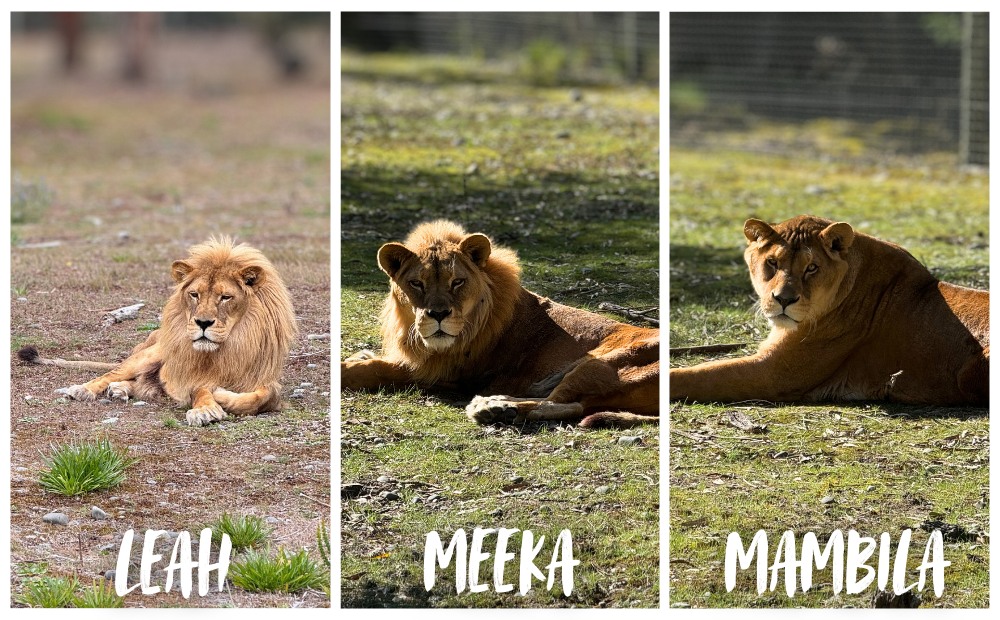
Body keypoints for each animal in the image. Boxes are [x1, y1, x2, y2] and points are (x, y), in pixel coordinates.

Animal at [18, 237, 298, 426]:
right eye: (194, 294)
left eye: (225, 297)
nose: (202, 323)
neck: (230, 347)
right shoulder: (190, 377)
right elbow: (201, 389)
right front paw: (206, 408)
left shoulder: (265, 378)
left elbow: (265, 396)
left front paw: (223, 397)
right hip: (150, 353)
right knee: (112, 373)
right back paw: (85, 390)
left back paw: (120, 390)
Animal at [341, 220, 659, 428]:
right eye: (417, 283)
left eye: (457, 282)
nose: (438, 314)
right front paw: (359, 355)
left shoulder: (443, 371)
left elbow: (376, 370)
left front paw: (351, 367)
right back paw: (495, 401)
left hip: (600, 365)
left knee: (562, 405)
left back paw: (493, 409)